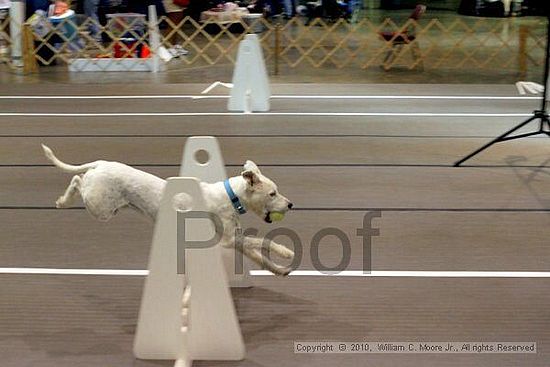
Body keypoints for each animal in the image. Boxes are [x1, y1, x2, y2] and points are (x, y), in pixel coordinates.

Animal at [42, 144, 298, 276]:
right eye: (272, 193)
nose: (290, 204)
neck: (230, 195)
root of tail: (100, 163)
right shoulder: (228, 240)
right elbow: (263, 241)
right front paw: (286, 252)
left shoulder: (234, 240)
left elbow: (258, 254)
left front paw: (279, 270)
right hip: (101, 208)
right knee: (77, 179)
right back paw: (62, 201)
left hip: (106, 206)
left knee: (79, 178)